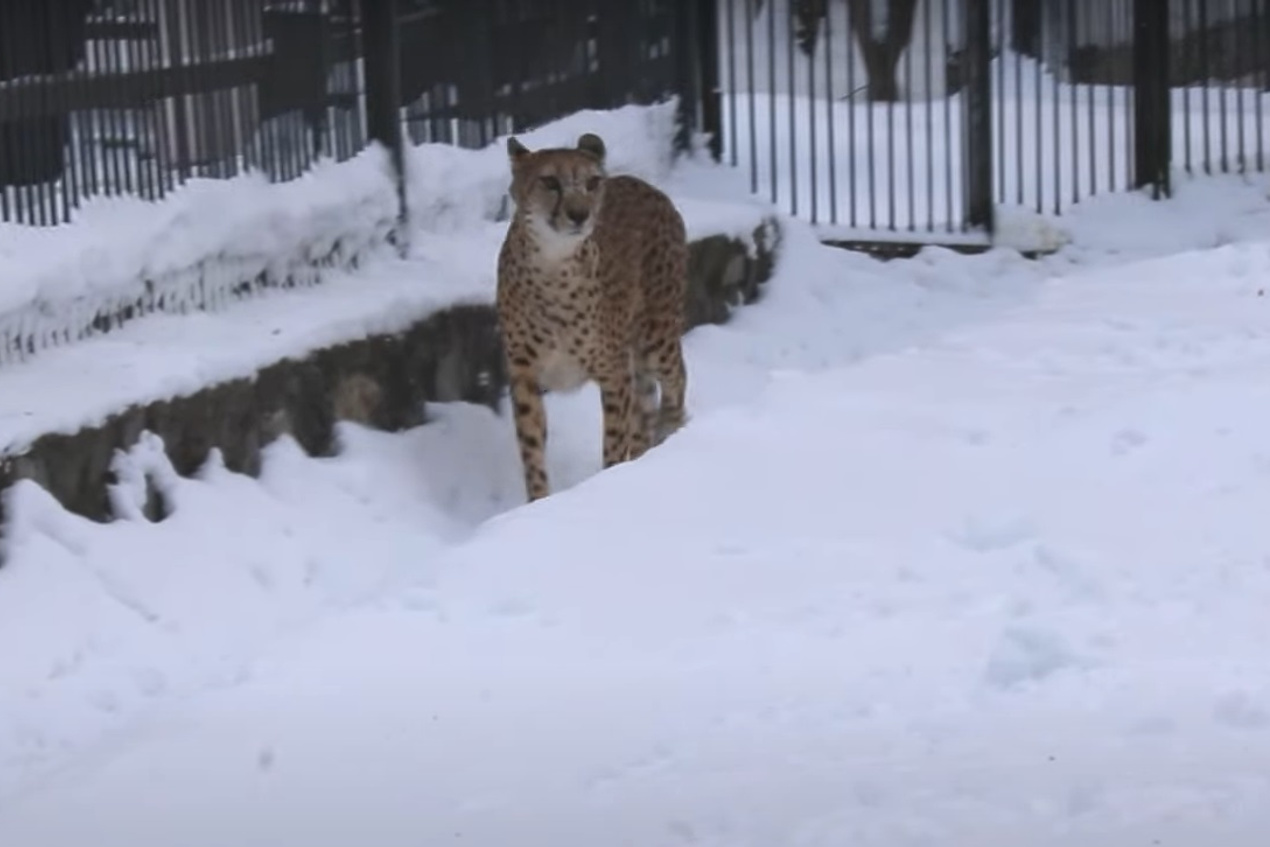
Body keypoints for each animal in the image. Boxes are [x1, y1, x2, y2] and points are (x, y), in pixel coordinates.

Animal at [497, 132, 695, 502]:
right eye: (550, 181)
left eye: (591, 182)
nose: (579, 214)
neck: (553, 263)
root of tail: (645, 185)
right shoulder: (524, 376)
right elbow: (532, 449)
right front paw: (538, 502)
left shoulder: (614, 374)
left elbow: (614, 441)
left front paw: (609, 483)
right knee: (646, 405)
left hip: (656, 337)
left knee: (676, 380)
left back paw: (671, 431)